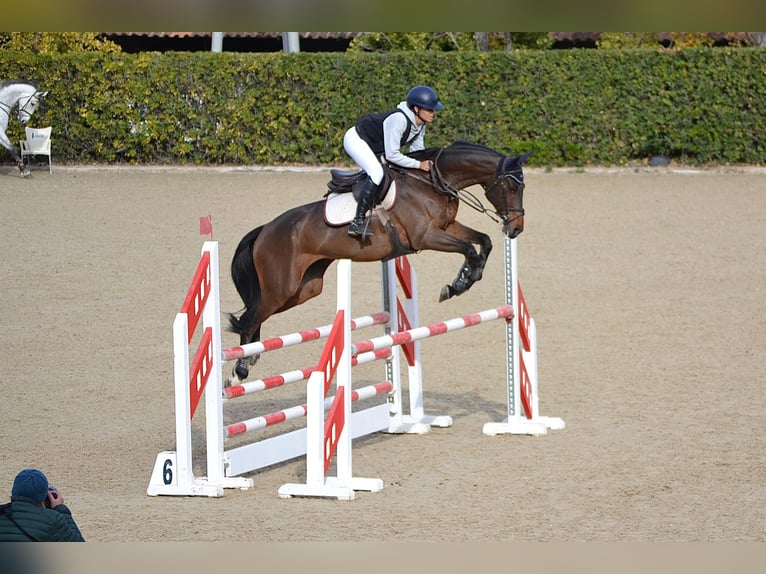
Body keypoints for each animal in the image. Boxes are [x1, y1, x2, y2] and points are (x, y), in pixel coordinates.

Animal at [226, 141, 531, 386]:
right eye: (511, 186)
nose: (516, 228)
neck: (433, 181)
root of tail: (265, 230)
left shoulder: (448, 227)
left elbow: (484, 242)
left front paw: (463, 280)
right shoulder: (427, 236)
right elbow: (469, 249)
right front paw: (458, 284)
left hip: (304, 289)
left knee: (254, 315)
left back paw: (250, 358)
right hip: (282, 288)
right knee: (248, 319)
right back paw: (238, 372)